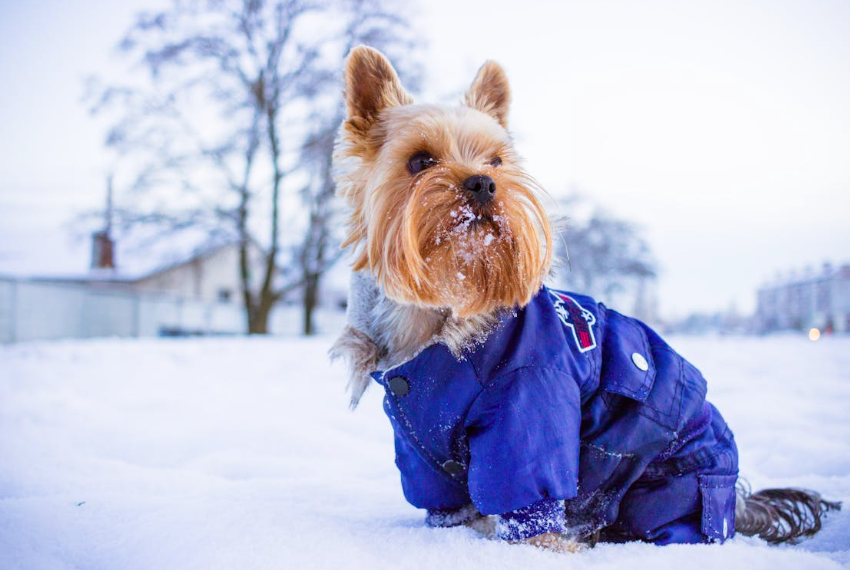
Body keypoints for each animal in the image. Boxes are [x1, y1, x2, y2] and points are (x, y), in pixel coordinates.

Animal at [328, 45, 840, 552]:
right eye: (419, 161)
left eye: (496, 162)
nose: (483, 182)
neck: (445, 311)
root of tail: (736, 499)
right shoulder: (418, 443)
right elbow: (447, 505)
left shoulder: (528, 402)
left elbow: (532, 498)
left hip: (671, 485)